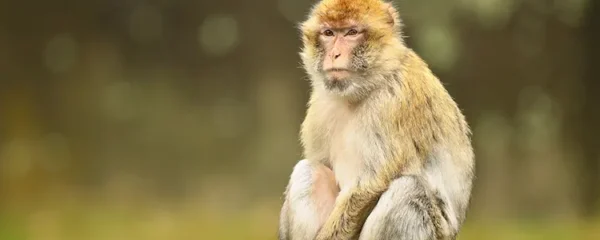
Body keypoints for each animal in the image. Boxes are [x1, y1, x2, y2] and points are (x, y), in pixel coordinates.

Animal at [278, 0, 476, 240]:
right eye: (328, 33)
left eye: (352, 33)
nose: (334, 54)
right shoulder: (320, 106)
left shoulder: (393, 104)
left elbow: (368, 186)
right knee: (309, 171)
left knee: (408, 190)